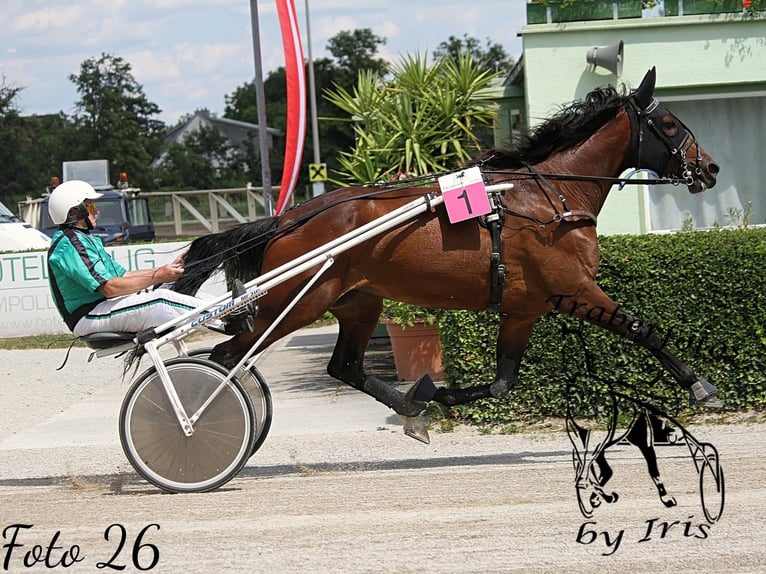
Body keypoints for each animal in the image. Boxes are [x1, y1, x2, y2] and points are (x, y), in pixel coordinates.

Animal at [173, 68, 720, 443]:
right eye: (670, 123)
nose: (710, 168)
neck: (552, 197)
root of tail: (288, 219)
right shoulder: (574, 288)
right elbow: (642, 329)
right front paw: (700, 386)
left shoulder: (525, 307)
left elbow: (501, 384)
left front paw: (429, 394)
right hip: (295, 305)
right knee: (227, 358)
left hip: (356, 303)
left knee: (344, 367)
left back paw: (412, 410)